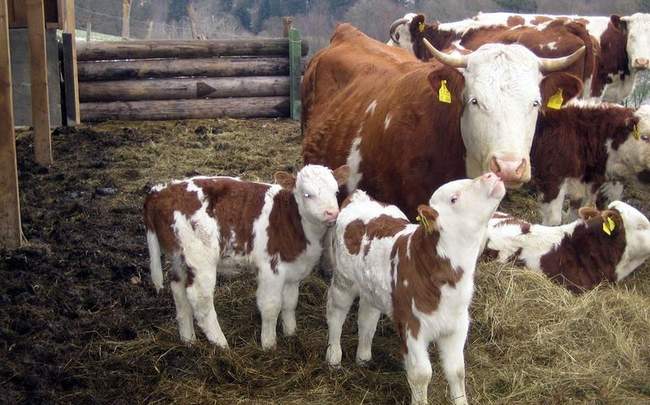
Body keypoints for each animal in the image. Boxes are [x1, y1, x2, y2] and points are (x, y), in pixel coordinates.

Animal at [142, 164, 350, 348]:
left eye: (336, 191)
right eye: (308, 194)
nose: (332, 213)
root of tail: (161, 191)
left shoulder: (293, 268)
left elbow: (290, 303)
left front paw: (291, 334)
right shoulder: (270, 268)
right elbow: (270, 306)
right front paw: (269, 344)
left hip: (179, 257)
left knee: (179, 292)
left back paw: (188, 340)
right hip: (200, 259)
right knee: (200, 300)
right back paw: (222, 345)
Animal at [326, 173, 504, 404]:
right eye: (454, 198)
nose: (491, 174)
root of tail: (360, 198)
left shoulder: (457, 325)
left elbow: (457, 371)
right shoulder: (411, 326)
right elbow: (421, 374)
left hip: (372, 288)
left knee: (367, 317)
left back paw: (364, 357)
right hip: (344, 280)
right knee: (336, 313)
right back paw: (334, 357)